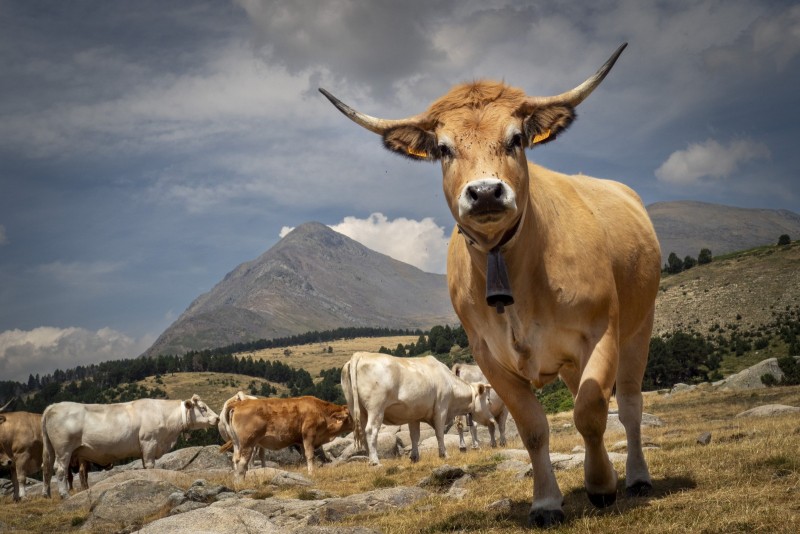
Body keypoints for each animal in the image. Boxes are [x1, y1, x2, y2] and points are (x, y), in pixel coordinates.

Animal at [41, 395, 219, 498]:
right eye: (202, 408)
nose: (217, 418)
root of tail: (53, 406)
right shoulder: (149, 442)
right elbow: (150, 466)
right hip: (63, 450)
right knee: (59, 470)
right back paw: (64, 495)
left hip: (50, 449)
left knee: (47, 469)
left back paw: (46, 494)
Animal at [222, 395, 353, 481]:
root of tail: (239, 404)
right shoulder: (309, 435)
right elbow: (310, 456)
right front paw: (312, 473)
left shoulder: (300, 441)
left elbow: (304, 456)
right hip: (248, 442)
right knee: (242, 461)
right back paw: (241, 481)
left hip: (237, 443)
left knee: (235, 459)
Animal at [341, 352, 496, 466]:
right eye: (488, 400)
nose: (492, 421)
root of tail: (360, 354)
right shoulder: (441, 409)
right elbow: (439, 433)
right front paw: (444, 454)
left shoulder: (413, 415)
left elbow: (414, 436)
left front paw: (414, 457)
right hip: (376, 408)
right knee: (371, 430)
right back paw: (375, 461)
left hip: (357, 409)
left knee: (363, 432)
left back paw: (369, 459)